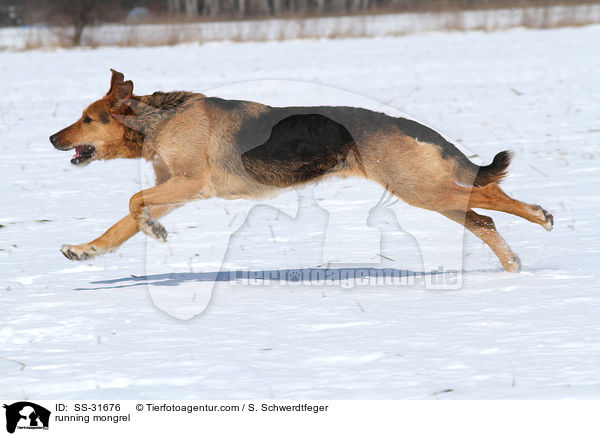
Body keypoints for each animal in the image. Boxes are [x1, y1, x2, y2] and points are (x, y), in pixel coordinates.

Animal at [50, 69, 552, 270]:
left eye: (89, 119)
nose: (53, 139)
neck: (155, 120)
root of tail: (410, 125)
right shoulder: (175, 189)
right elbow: (121, 224)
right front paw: (88, 250)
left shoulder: (192, 183)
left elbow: (133, 202)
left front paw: (153, 230)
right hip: (426, 191)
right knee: (484, 219)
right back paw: (512, 265)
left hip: (420, 188)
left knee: (489, 197)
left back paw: (538, 214)